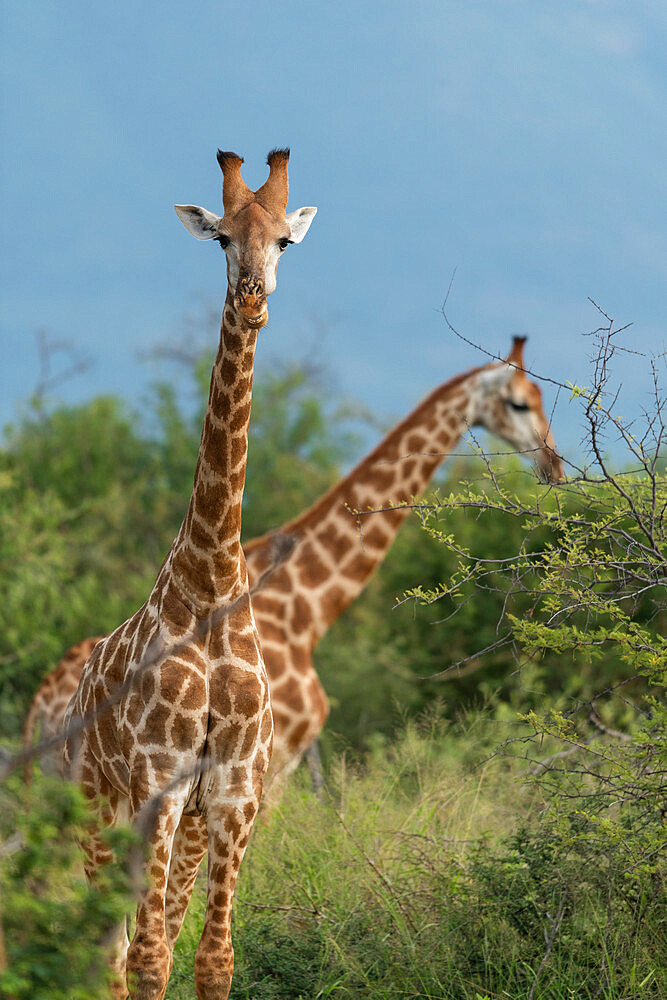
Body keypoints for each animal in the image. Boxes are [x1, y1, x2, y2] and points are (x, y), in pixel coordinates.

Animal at [60, 148, 316, 1000]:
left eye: (284, 241)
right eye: (222, 238)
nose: (253, 300)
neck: (207, 580)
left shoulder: (232, 796)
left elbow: (211, 959)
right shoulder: (158, 788)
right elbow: (148, 960)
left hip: (186, 825)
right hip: (98, 813)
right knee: (111, 953)